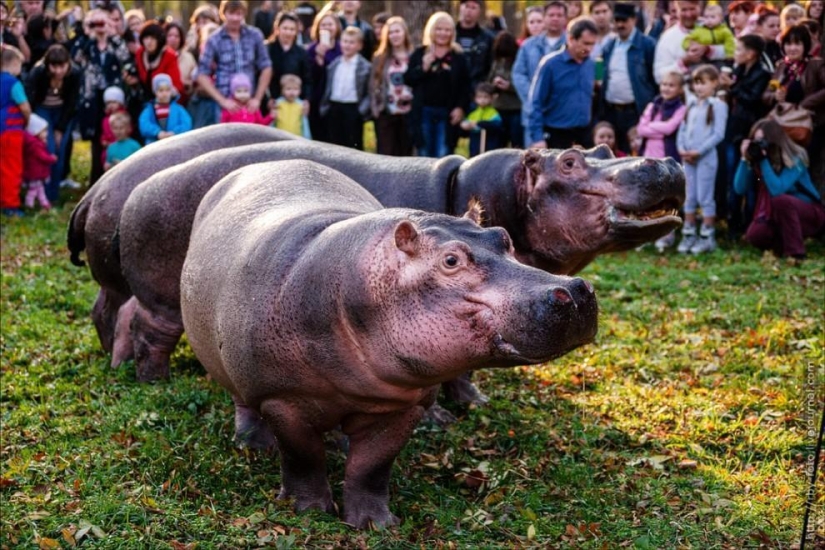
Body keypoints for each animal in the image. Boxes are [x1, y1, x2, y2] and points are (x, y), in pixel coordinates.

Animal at [180, 160, 599, 528]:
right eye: (450, 260)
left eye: (504, 237)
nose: (576, 290)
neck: (350, 279)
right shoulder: (284, 401)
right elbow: (303, 459)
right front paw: (309, 511)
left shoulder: (402, 406)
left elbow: (371, 467)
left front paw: (375, 524)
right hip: (230, 365)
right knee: (242, 401)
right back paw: (254, 445)